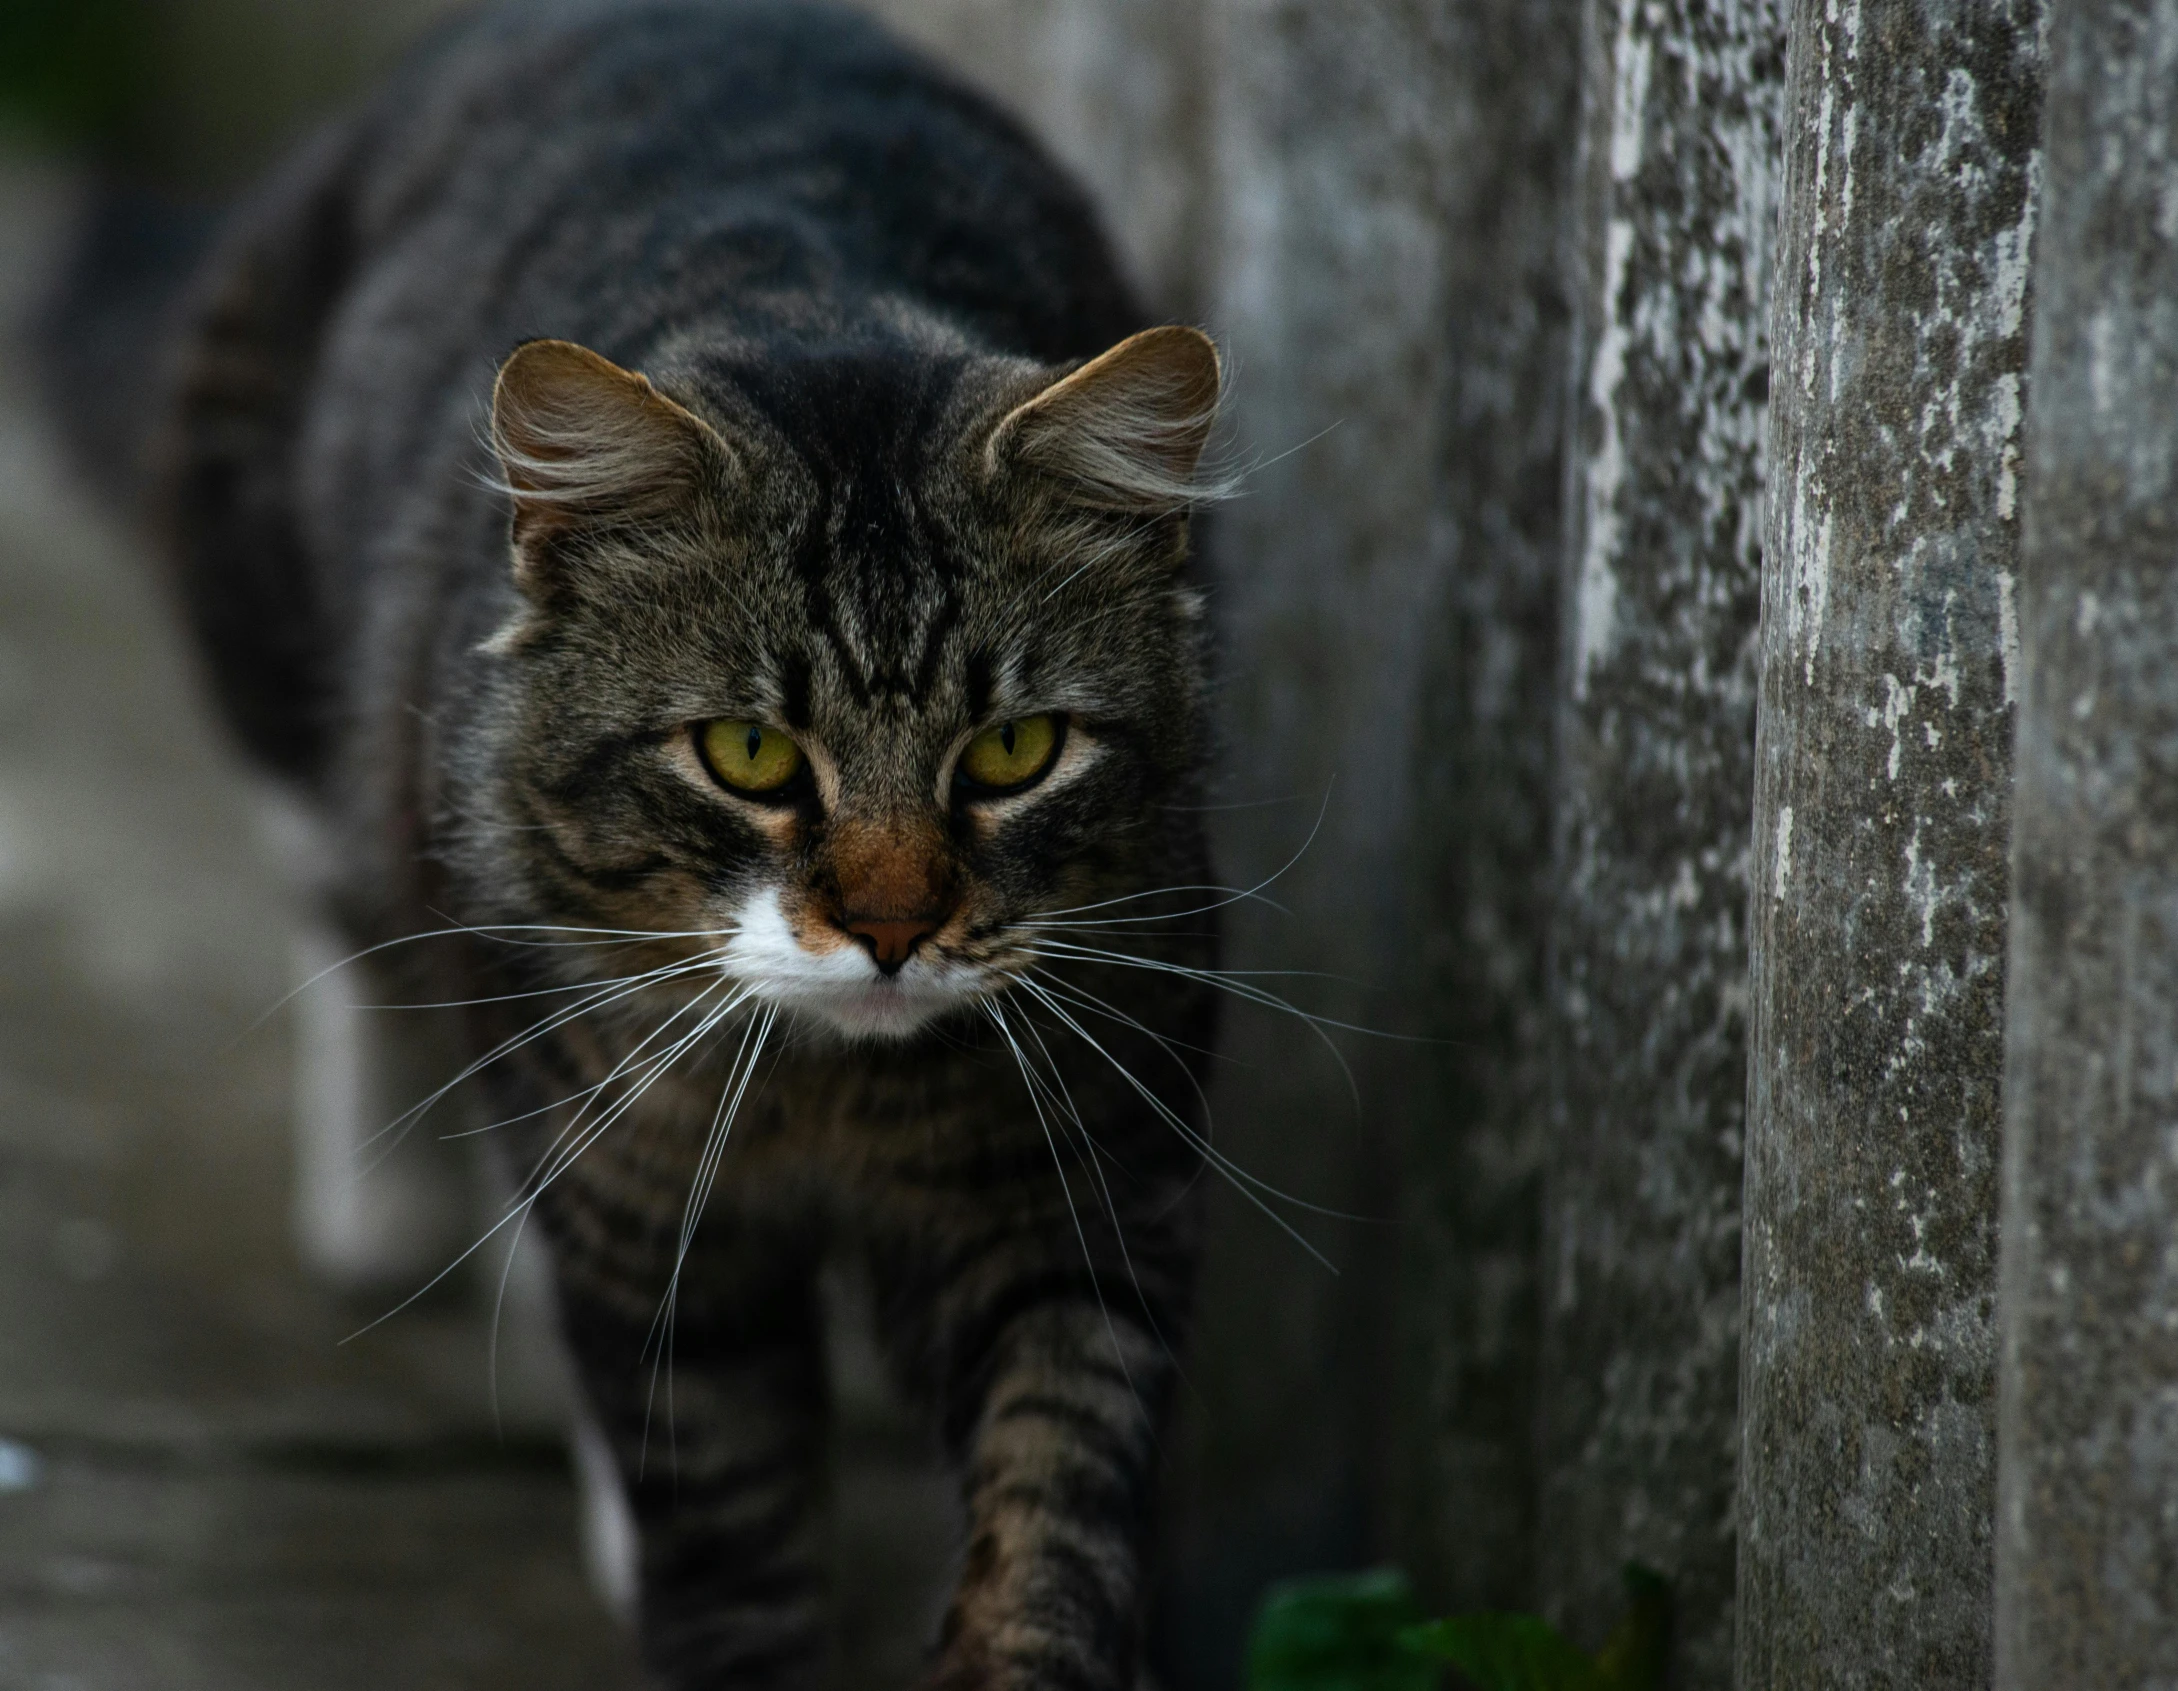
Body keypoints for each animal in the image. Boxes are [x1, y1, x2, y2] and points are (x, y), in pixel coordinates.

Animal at [51, 3, 1237, 1691]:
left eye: (1013, 752)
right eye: (747, 754)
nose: (893, 926)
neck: (835, 1099)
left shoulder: (1071, 1188)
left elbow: (1051, 1492)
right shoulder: (640, 1192)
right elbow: (719, 1513)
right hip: (287, 668)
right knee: (348, 931)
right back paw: (378, 1206)